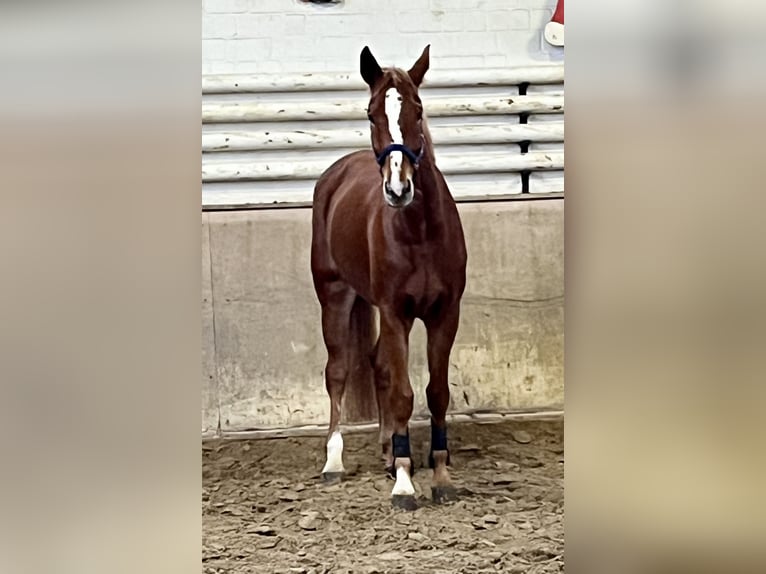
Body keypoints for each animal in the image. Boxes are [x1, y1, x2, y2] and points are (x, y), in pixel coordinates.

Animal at [310, 45, 467, 510]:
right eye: (371, 113)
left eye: (417, 108)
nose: (399, 190)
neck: (420, 231)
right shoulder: (397, 313)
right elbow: (403, 394)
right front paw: (404, 481)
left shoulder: (444, 314)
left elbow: (436, 393)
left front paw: (439, 473)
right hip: (334, 296)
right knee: (338, 371)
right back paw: (335, 462)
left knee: (378, 363)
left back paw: (385, 451)